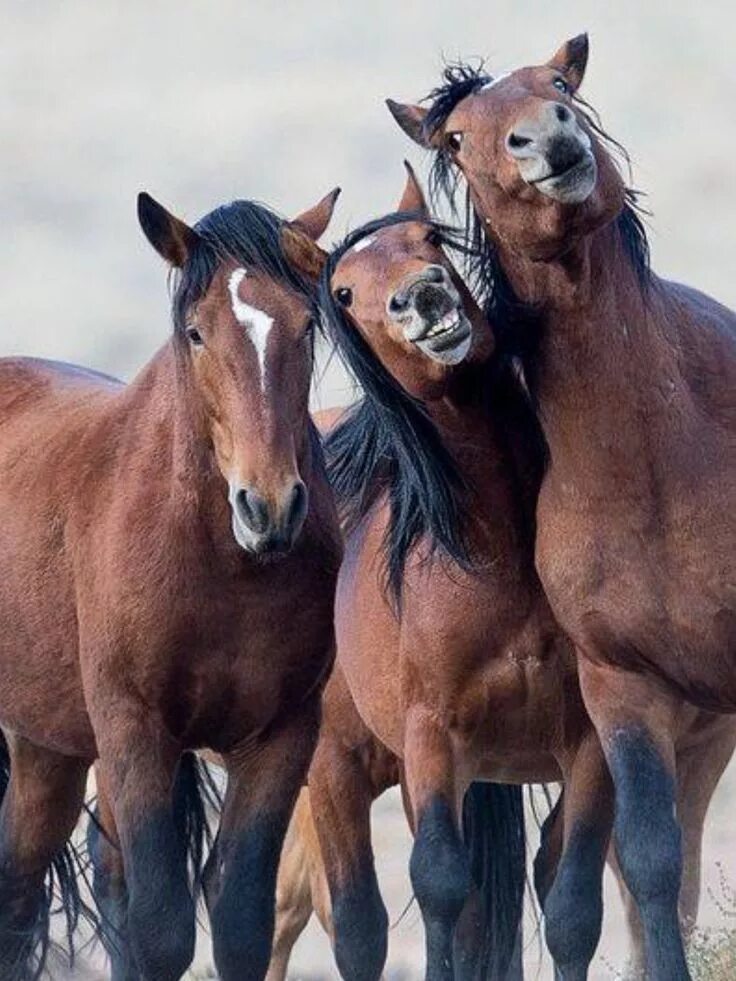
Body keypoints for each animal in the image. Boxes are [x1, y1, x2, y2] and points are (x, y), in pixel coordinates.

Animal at [0, 186, 342, 980]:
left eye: (307, 324)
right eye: (195, 333)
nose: (268, 505)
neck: (224, 567)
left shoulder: (282, 736)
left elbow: (241, 925)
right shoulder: (136, 731)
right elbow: (157, 929)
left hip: (48, 749)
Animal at [388, 30, 736, 980]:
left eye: (558, 85)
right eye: (458, 136)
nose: (549, 138)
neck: (651, 469)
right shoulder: (625, 692)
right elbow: (650, 866)